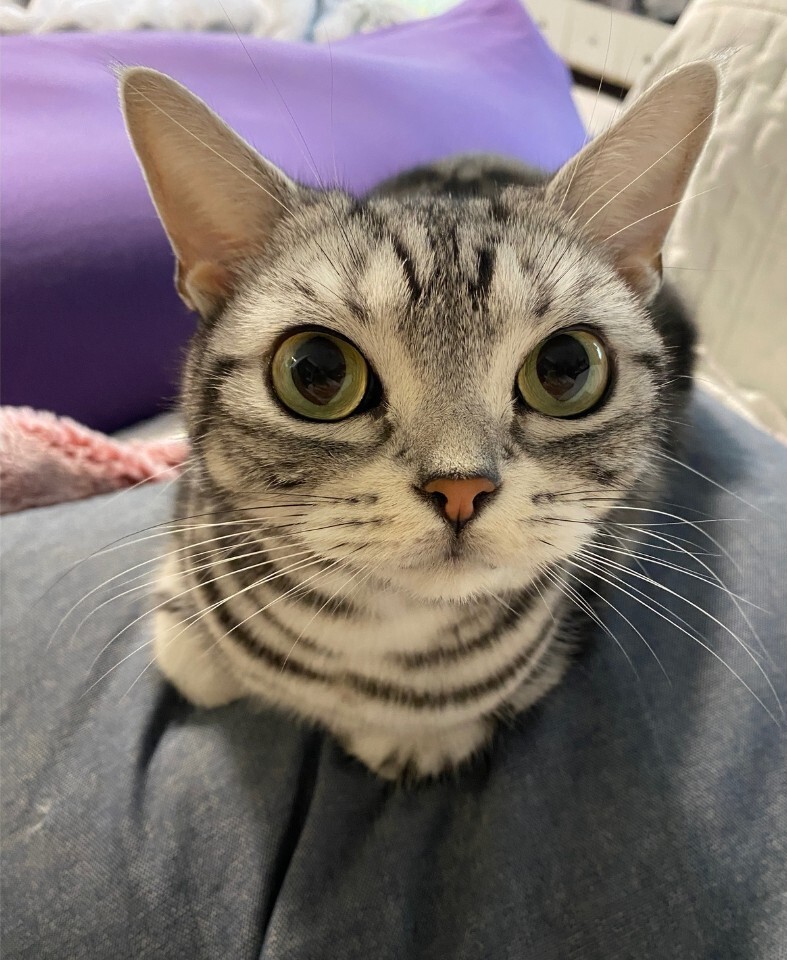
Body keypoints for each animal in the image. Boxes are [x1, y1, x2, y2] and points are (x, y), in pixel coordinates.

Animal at [119, 60, 717, 780]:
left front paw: (412, 736)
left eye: (566, 367)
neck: (365, 641)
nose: (461, 488)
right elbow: (192, 653)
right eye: (317, 370)